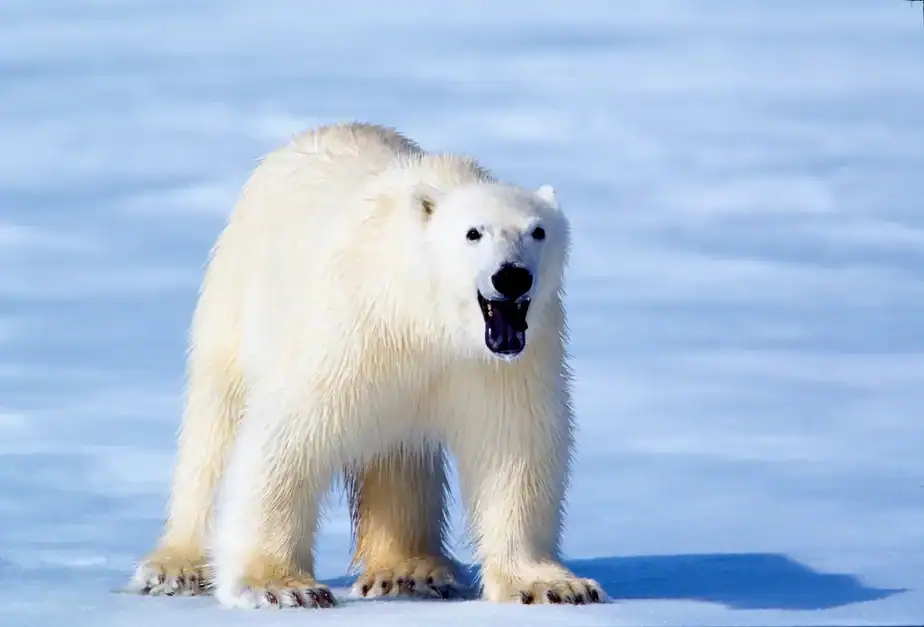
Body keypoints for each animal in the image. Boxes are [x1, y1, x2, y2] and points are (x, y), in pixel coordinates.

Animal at [128, 121, 606, 609]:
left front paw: (551, 585)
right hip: (234, 298)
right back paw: (177, 567)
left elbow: (515, 446)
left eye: (538, 231)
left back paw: (408, 571)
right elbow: (288, 438)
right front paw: (282, 586)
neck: (426, 316)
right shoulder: (353, 329)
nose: (511, 276)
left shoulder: (506, 361)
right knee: (214, 431)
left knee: (400, 456)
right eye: (473, 232)